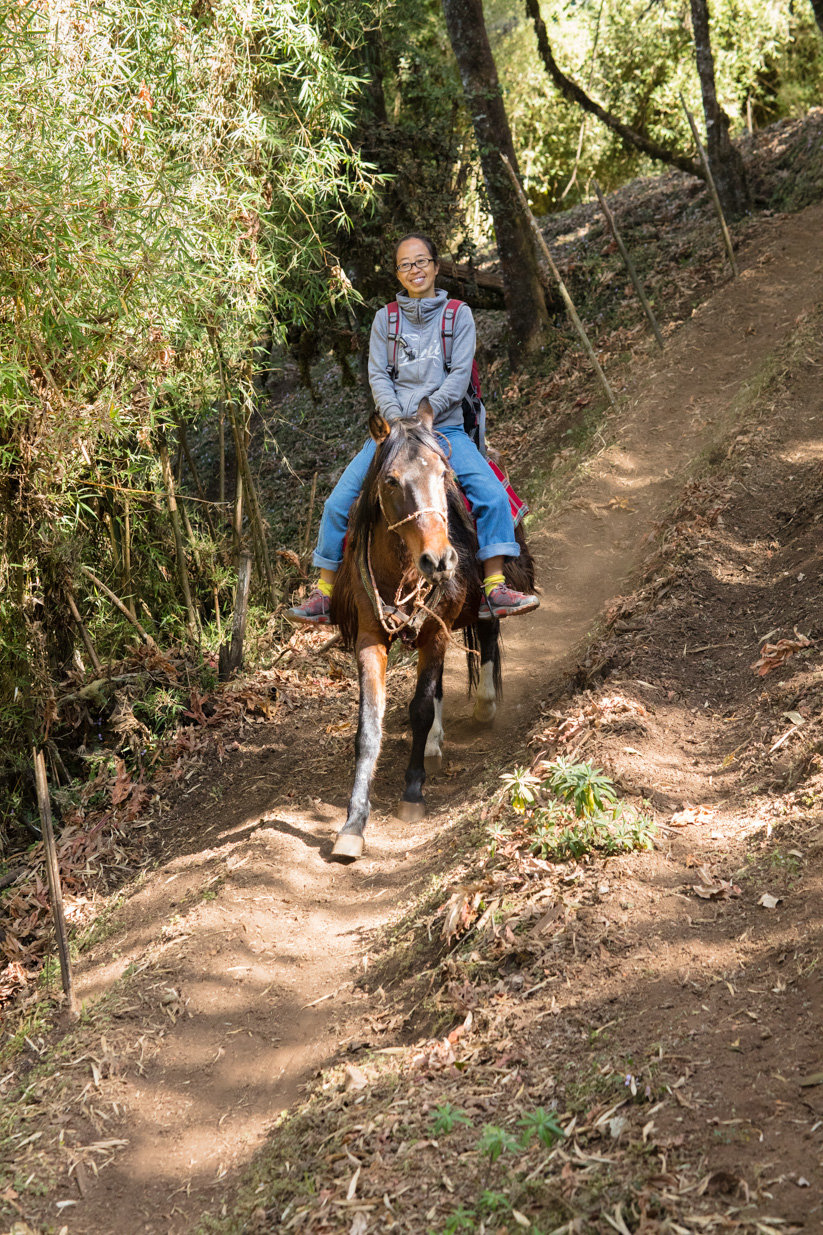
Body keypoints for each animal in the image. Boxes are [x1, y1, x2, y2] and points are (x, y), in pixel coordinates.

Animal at [328, 399, 535, 862]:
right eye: (390, 480)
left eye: (444, 474)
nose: (439, 560)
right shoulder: (371, 638)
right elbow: (369, 727)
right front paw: (353, 825)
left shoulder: (437, 631)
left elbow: (420, 708)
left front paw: (412, 793)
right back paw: (436, 745)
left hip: (478, 602)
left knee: (488, 632)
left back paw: (483, 707)